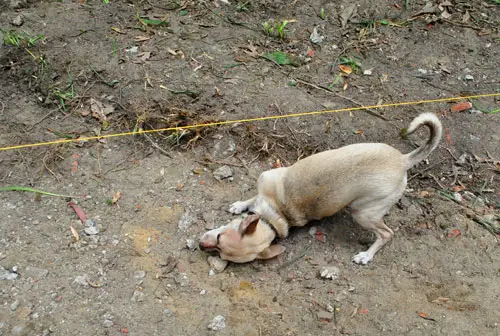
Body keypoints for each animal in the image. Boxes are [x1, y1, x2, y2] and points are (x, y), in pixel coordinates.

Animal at [199, 113, 442, 266]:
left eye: (219, 241)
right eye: (219, 248)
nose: (201, 246)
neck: (274, 218)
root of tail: (403, 161)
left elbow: (253, 197)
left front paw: (243, 205)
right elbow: (251, 200)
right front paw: (240, 206)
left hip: (362, 214)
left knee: (386, 234)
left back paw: (366, 256)